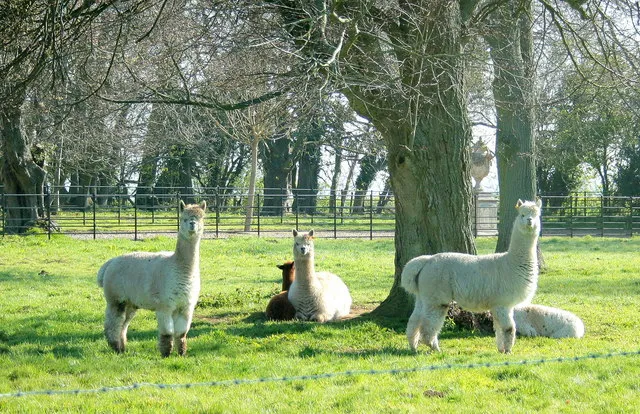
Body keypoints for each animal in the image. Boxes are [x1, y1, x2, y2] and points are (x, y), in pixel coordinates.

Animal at [97, 200, 206, 357]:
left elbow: (181, 333)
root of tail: (110, 263)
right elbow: (167, 333)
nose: (192, 223)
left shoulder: (186, 306)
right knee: (113, 324)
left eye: (201, 218)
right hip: (115, 298)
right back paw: (116, 348)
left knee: (124, 324)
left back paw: (123, 348)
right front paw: (166, 354)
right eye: (183, 218)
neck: (179, 269)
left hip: (131, 302)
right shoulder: (165, 305)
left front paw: (182, 354)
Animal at [401, 199, 542, 353]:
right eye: (522, 214)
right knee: (428, 326)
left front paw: (501, 350)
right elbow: (509, 328)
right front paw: (508, 352)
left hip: (423, 295)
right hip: (436, 297)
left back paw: (413, 347)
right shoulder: (502, 302)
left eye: (536, 215)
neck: (512, 263)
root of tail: (427, 261)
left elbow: (498, 329)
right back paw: (435, 349)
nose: (529, 221)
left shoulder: (499, 304)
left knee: (414, 321)